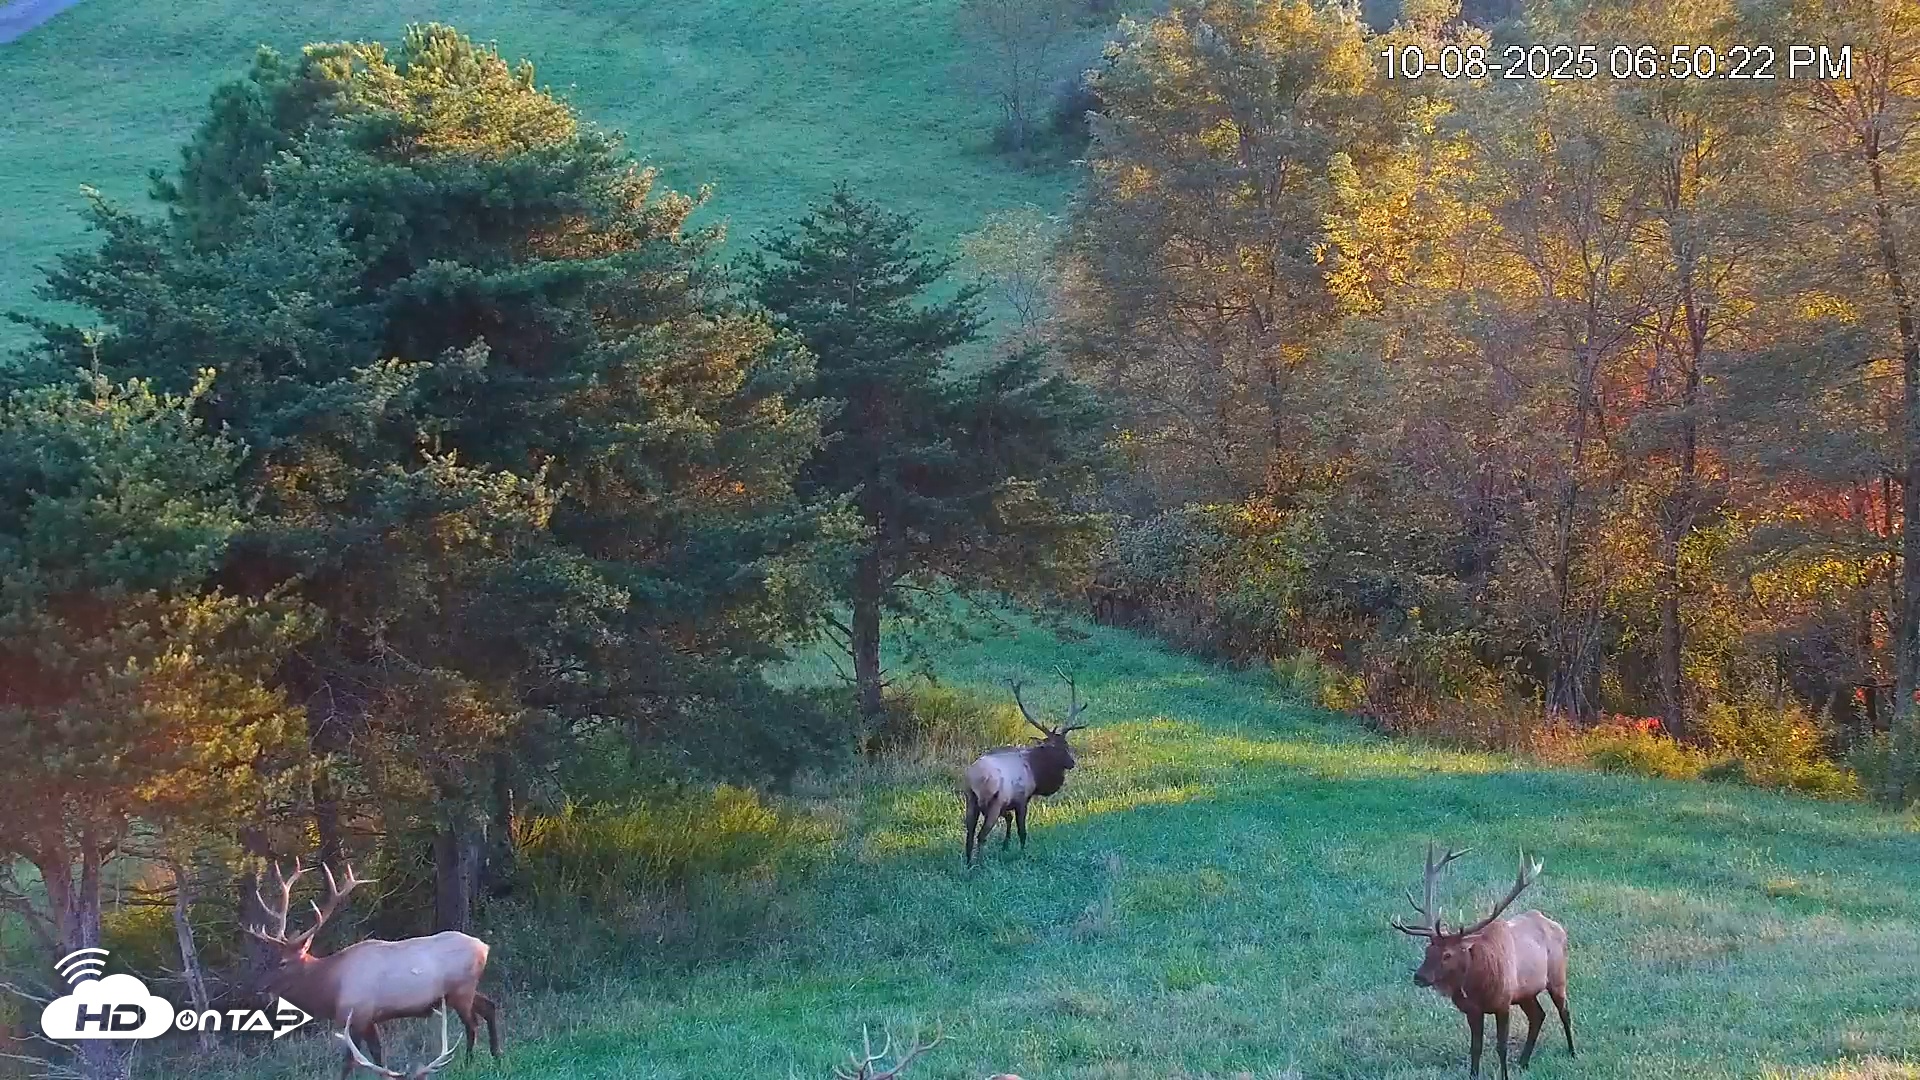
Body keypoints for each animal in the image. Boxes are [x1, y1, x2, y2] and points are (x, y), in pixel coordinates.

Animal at [245, 862, 501, 1079]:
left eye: (283, 962)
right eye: (270, 959)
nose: (258, 988)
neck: (331, 987)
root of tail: (484, 947)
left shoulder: (357, 1015)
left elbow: (349, 1062)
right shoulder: (369, 1019)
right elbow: (378, 1056)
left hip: (461, 990)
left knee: (472, 1024)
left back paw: (469, 1063)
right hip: (463, 991)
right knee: (489, 1006)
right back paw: (495, 1054)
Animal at [962, 668, 1089, 866]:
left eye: (1067, 745)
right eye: (1054, 748)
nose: (1071, 763)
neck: (1035, 772)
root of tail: (974, 778)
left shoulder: (1007, 804)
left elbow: (1009, 820)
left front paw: (1005, 846)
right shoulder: (1021, 799)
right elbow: (1022, 830)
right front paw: (1023, 853)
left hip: (971, 800)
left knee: (969, 835)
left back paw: (968, 863)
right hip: (993, 802)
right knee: (981, 835)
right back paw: (979, 864)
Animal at [1391, 843, 1574, 1080]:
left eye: (1447, 955)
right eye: (1427, 949)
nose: (1419, 976)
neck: (1477, 987)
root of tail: (1556, 925)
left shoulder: (1503, 1002)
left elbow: (1501, 1047)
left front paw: (1504, 1075)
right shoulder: (1473, 1010)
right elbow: (1475, 1047)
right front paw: (1473, 1074)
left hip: (1557, 976)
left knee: (1564, 1012)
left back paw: (1572, 1052)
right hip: (1525, 992)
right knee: (1538, 1015)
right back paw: (1523, 1062)